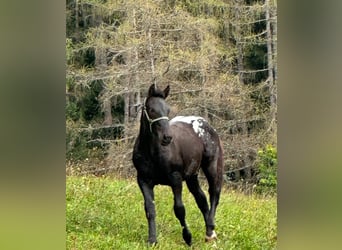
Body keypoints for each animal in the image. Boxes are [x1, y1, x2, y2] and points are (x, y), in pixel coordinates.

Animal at [132, 84, 224, 246]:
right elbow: (150, 209)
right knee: (201, 199)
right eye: (151, 109)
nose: (167, 137)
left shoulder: (175, 178)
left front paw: (188, 237)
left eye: (168, 110)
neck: (152, 152)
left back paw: (210, 232)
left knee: (214, 193)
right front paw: (152, 240)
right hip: (192, 176)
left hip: (212, 166)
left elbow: (179, 209)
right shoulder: (143, 180)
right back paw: (209, 230)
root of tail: (206, 124)